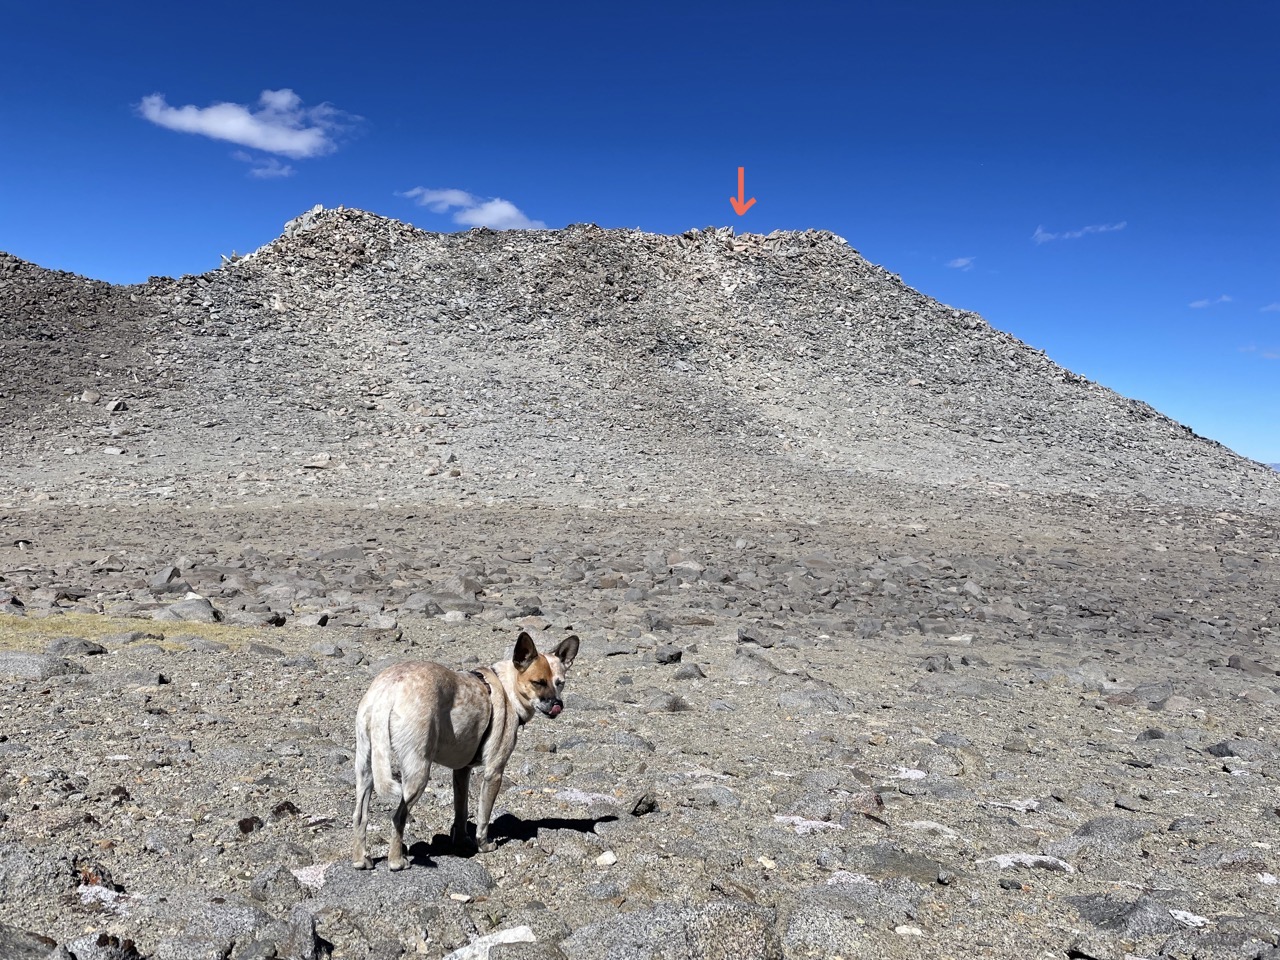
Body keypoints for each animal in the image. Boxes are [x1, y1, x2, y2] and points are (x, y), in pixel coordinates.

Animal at [350, 632, 581, 870]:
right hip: (417, 774)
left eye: (560, 683)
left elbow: (461, 811)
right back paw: (396, 860)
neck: (507, 688)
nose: (557, 704)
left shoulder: (462, 771)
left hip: (366, 769)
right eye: (538, 683)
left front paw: (461, 841)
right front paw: (484, 845)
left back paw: (361, 859)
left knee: (359, 816)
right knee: (398, 817)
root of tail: (388, 690)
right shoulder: (494, 773)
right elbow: (483, 817)